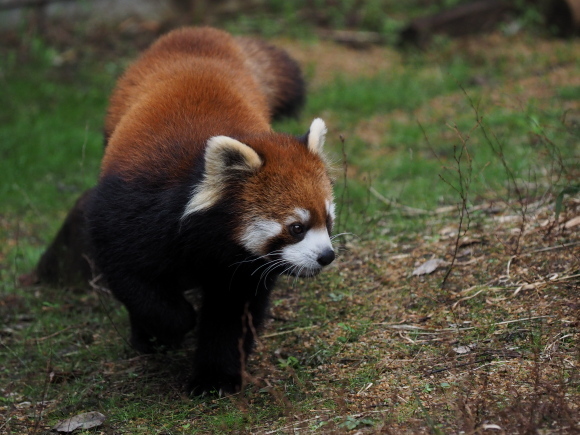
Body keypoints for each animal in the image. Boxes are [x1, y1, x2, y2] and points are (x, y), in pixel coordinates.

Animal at [88, 26, 338, 396]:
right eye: (296, 227)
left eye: (328, 221)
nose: (326, 256)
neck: (205, 238)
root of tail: (201, 34)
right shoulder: (130, 212)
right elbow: (132, 277)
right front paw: (175, 324)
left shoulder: (240, 266)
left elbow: (230, 314)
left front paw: (215, 378)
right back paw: (147, 338)